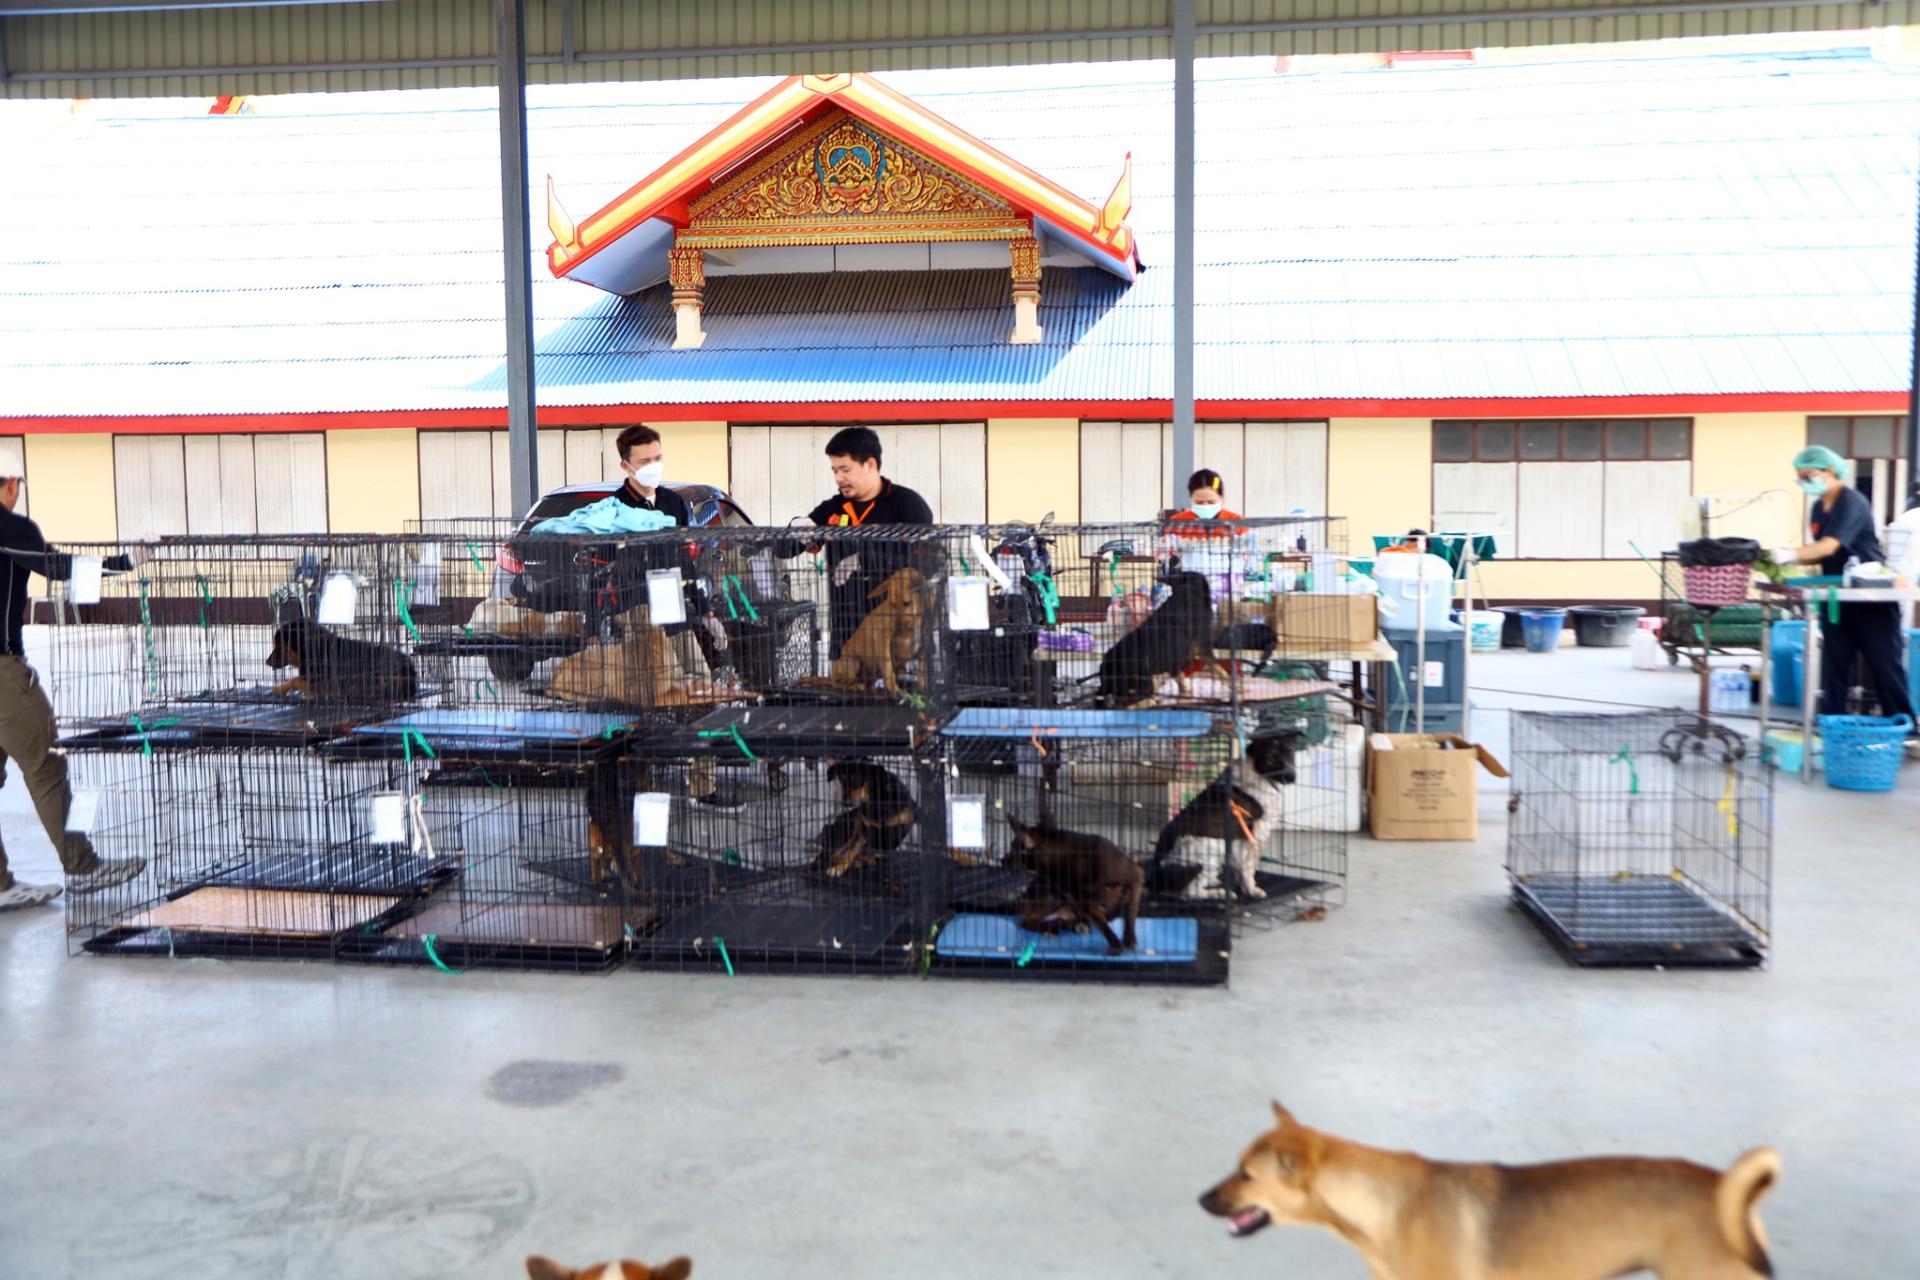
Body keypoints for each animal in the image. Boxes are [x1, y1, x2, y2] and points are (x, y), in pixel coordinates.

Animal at [1003, 814, 1143, 954]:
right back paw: (1050, 928)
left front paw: (1128, 940)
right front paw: (1116, 945)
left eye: (1014, 851)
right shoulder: (1085, 902)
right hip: (1057, 897)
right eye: (1010, 847)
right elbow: (1103, 925)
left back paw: (1072, 925)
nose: (1002, 860)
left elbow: (1129, 916)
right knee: (1025, 921)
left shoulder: (1136, 877)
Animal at [1152, 730, 1300, 900]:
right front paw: (1252, 889)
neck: (1256, 772)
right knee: (1189, 892)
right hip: (1210, 848)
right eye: (1270, 757)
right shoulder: (1256, 835)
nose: (1292, 777)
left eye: (1290, 752)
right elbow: (1248, 868)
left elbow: (1240, 867)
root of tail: (1156, 878)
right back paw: (1218, 893)